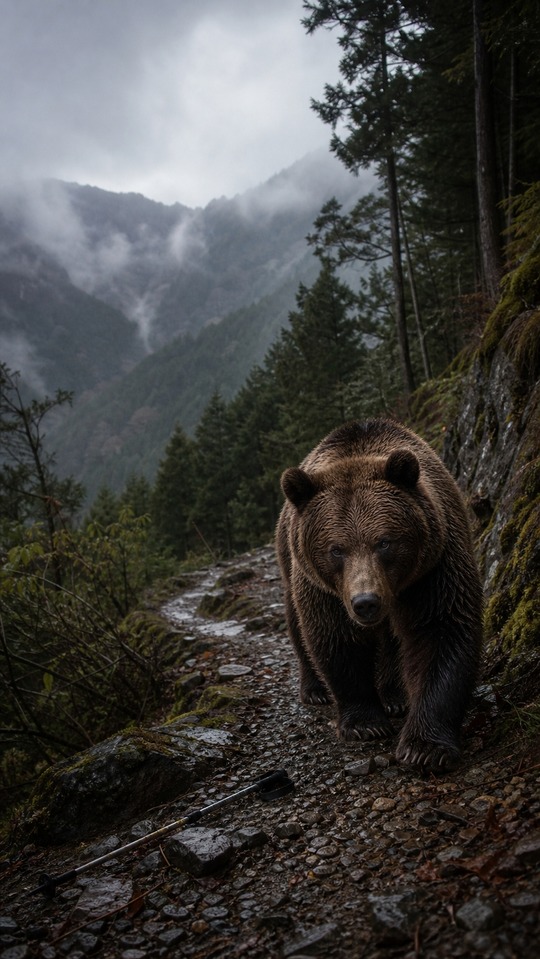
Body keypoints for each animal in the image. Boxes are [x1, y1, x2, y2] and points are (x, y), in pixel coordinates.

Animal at [276, 418, 483, 770]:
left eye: (384, 542)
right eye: (336, 549)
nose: (365, 603)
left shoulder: (433, 568)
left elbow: (441, 629)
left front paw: (424, 746)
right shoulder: (325, 591)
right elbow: (335, 637)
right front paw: (365, 723)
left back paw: (394, 696)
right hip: (290, 565)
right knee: (296, 623)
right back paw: (315, 689)